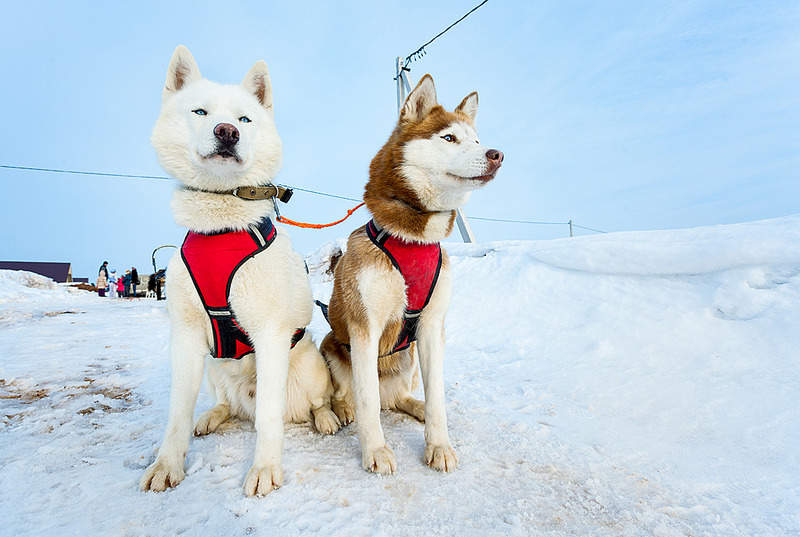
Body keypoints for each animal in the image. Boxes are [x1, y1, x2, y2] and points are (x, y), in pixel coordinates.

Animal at [320, 73, 504, 472]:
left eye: (476, 140)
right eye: (448, 138)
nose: (497, 155)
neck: (413, 240)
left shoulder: (432, 328)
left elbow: (437, 398)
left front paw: (439, 444)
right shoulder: (364, 328)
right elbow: (367, 401)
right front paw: (375, 450)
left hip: (409, 358)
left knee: (399, 397)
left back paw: (412, 405)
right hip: (333, 346)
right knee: (350, 395)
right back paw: (336, 411)